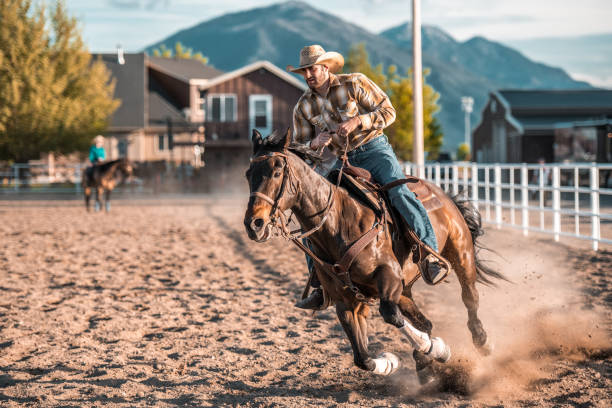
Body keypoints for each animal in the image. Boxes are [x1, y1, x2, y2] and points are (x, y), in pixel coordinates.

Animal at [244, 129, 506, 384]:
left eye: (277, 171)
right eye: (248, 174)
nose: (253, 224)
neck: (339, 223)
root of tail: (444, 195)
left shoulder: (388, 276)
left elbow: (390, 316)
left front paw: (435, 349)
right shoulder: (347, 302)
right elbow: (362, 358)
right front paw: (392, 361)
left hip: (461, 254)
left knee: (469, 297)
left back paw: (482, 341)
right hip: (405, 288)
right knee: (424, 321)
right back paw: (424, 366)